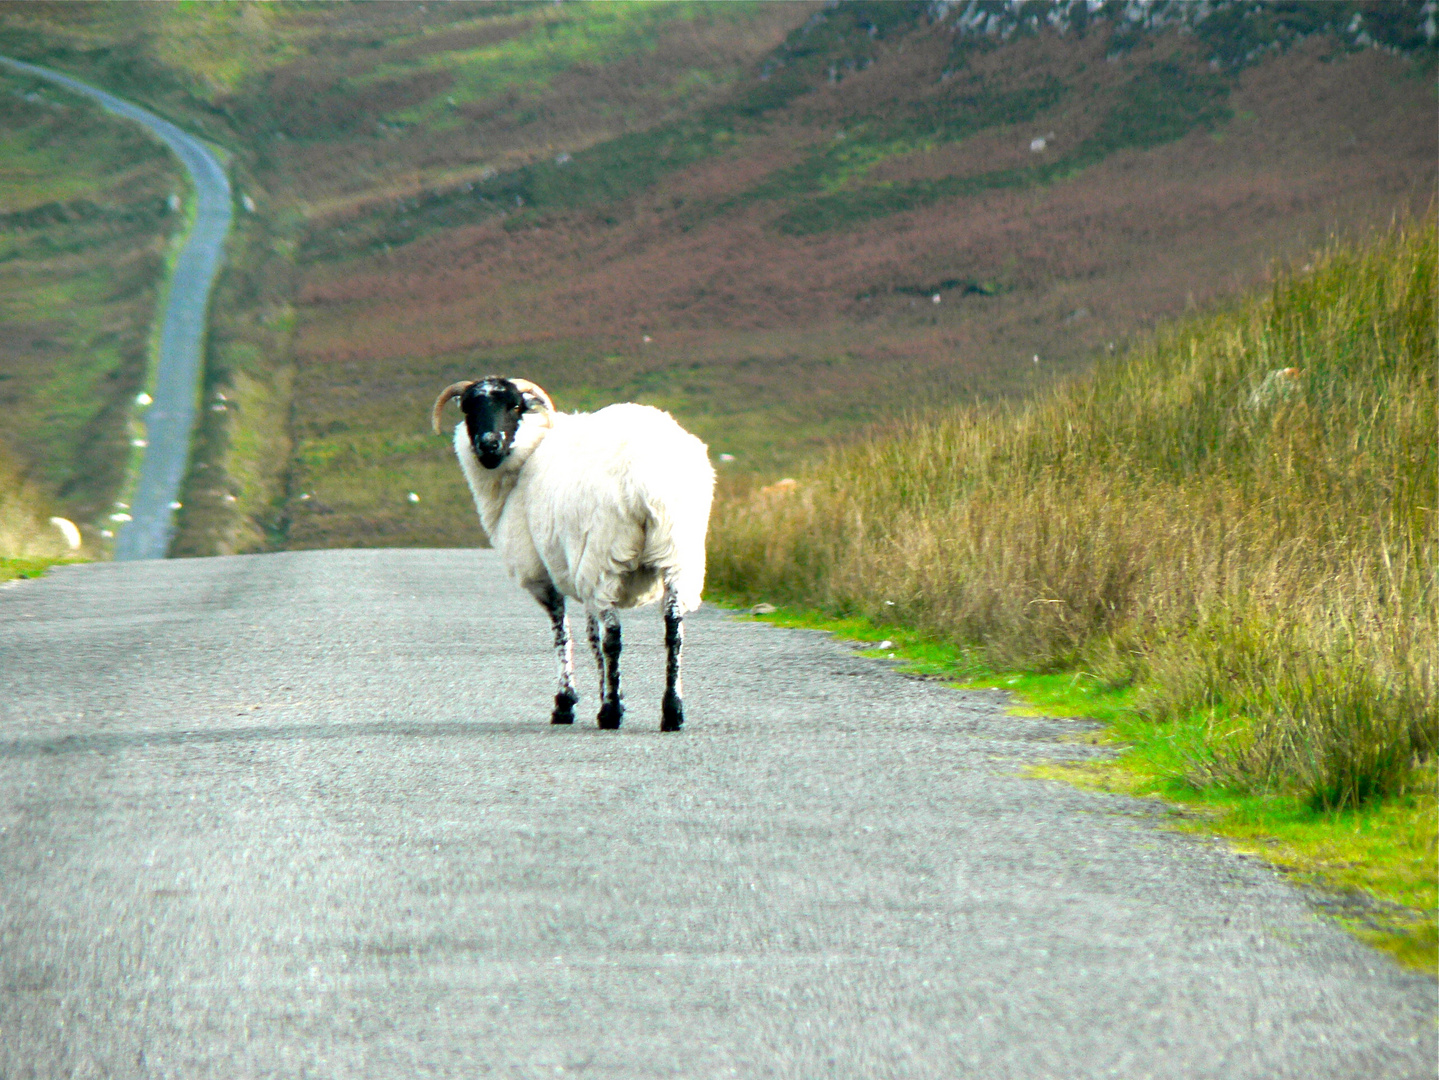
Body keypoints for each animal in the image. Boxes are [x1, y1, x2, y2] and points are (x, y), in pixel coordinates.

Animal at [428, 376, 716, 730]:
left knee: (613, 636)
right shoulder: (578, 567)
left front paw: (567, 703)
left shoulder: (545, 571)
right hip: (677, 550)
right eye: (468, 407)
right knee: (673, 628)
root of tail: (646, 480)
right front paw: (602, 696)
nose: (489, 445)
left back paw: (611, 714)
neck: (527, 453)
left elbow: (564, 634)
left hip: (606, 555)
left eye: (514, 405)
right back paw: (672, 711)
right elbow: (590, 635)